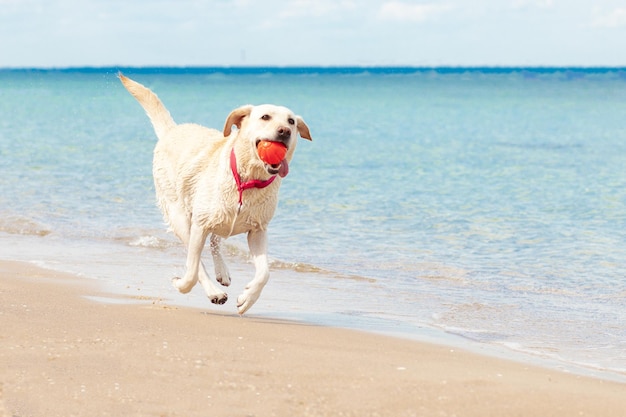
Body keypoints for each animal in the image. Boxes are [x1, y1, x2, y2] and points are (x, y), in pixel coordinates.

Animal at [118, 75, 310, 312]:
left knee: (216, 240)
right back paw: (214, 291)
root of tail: (172, 130)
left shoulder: (257, 230)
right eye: (265, 117)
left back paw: (222, 272)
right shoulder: (199, 225)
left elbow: (264, 273)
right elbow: (193, 269)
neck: (247, 181)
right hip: (180, 215)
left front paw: (247, 299)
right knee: (197, 253)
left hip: (218, 216)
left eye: (291, 121)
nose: (285, 131)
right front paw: (182, 285)